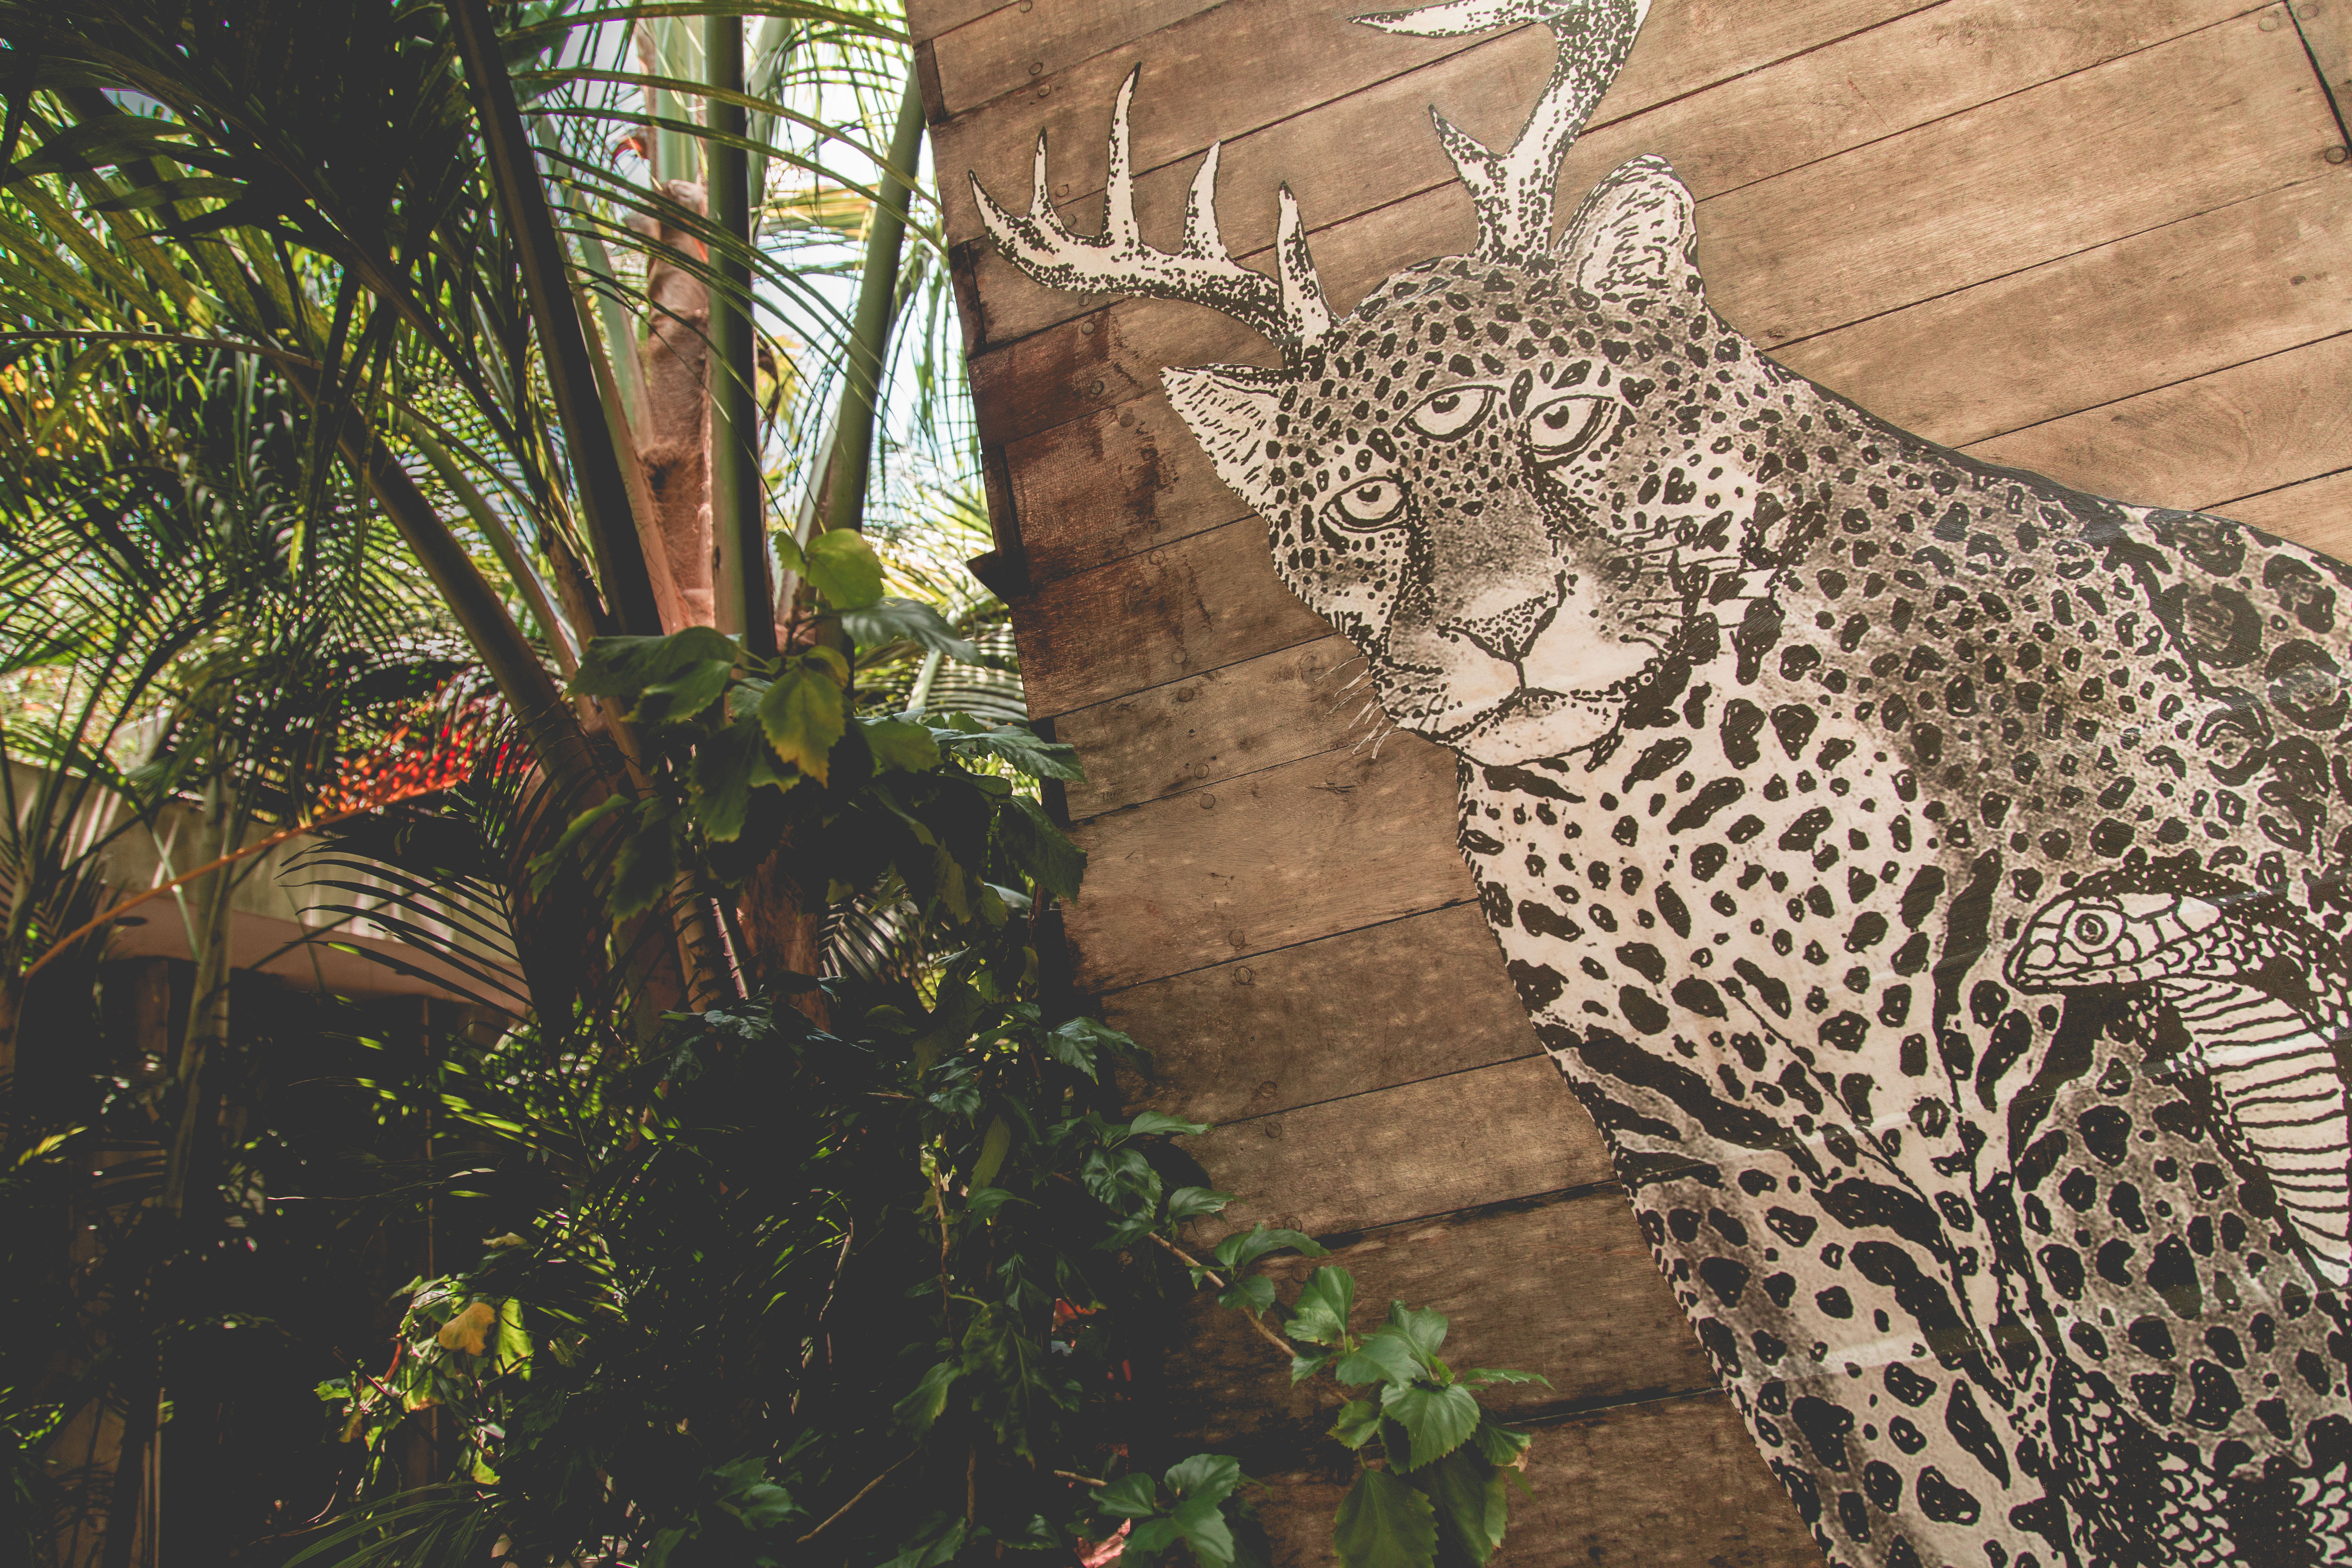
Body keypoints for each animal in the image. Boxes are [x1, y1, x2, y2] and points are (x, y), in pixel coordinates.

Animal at [973, 0, 2352, 1562]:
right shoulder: (1716, 1165)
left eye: (1562, 422)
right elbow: (1918, 1482)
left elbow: (2221, 1375)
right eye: (1366, 499)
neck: (1664, 808)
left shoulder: (2091, 1042)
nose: (1507, 623)